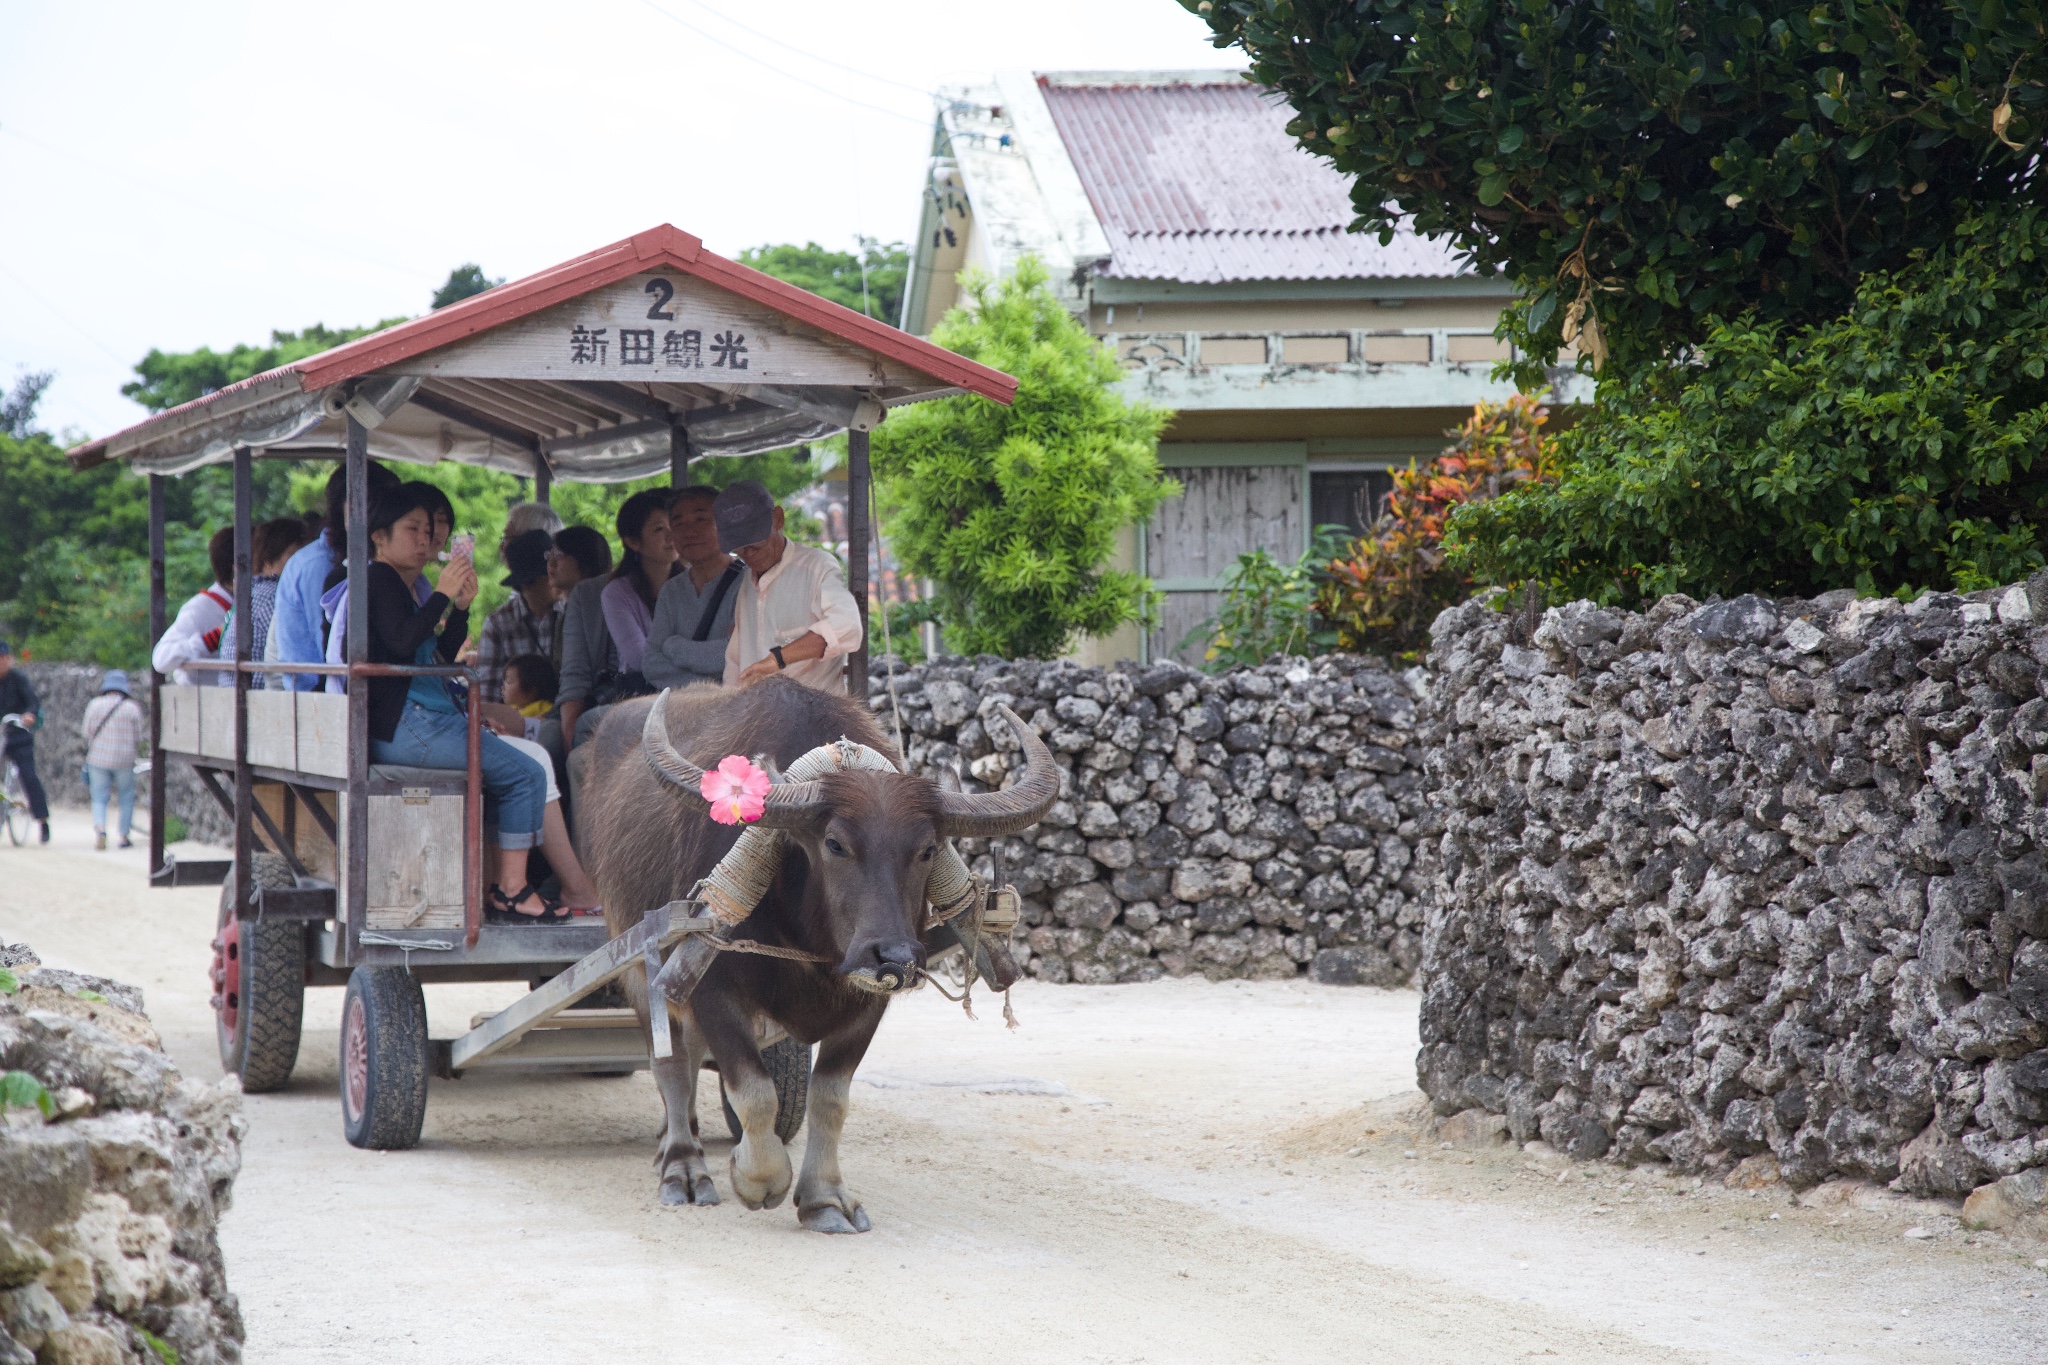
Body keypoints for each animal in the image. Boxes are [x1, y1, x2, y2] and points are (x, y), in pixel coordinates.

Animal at [577, 679, 1056, 1236]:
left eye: (928, 849)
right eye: (835, 843)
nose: (895, 956)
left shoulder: (868, 1003)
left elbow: (831, 1099)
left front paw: (824, 1198)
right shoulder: (711, 986)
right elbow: (754, 1091)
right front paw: (758, 1179)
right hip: (638, 963)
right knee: (671, 1061)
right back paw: (683, 1163)